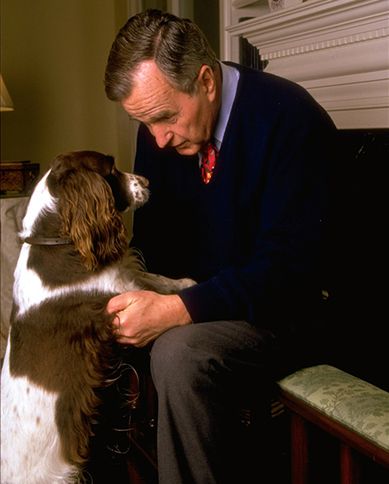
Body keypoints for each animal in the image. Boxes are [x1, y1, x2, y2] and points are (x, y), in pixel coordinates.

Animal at [0, 151, 194, 484]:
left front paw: (186, 282)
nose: (146, 181)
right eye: (112, 169)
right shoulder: (117, 299)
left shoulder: (128, 279)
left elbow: (158, 279)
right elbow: (158, 297)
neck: (62, 242)